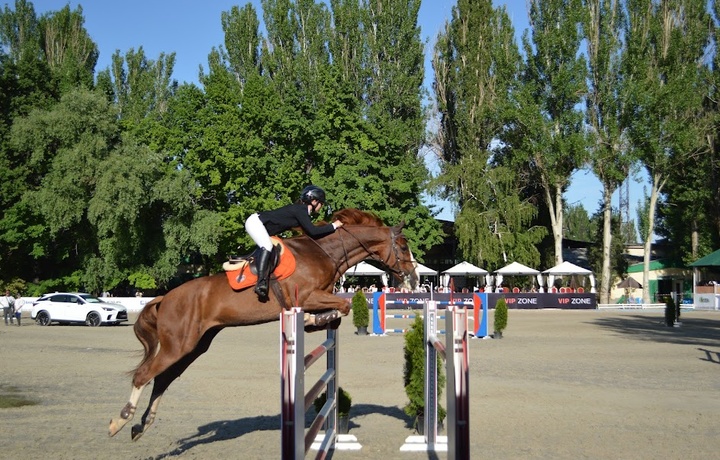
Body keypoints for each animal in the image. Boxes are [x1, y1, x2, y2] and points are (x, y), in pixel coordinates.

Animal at [109, 208, 420, 438]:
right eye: (403, 246)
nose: (415, 278)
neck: (325, 251)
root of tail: (166, 297)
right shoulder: (307, 295)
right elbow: (343, 306)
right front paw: (311, 319)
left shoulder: (320, 296)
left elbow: (339, 309)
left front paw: (315, 321)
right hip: (179, 346)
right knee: (144, 375)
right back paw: (120, 421)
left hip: (194, 347)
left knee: (162, 379)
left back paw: (142, 425)